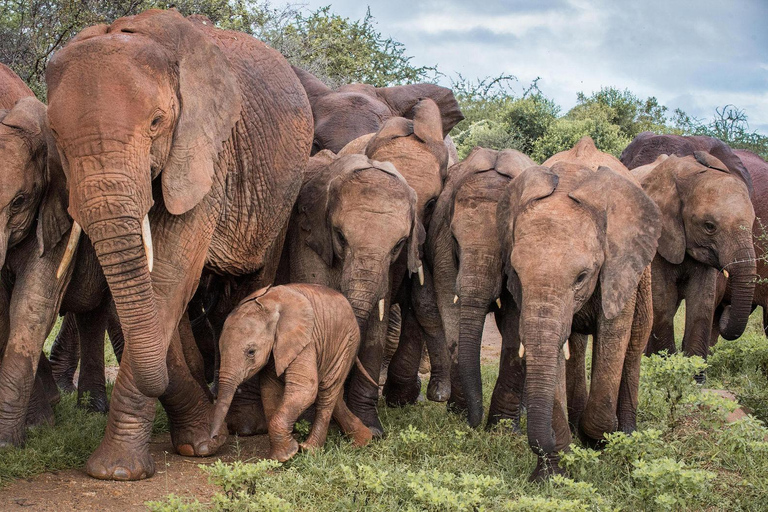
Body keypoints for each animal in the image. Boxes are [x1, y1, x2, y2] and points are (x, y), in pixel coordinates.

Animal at [45, 8, 312, 480]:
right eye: (55, 135)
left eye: (156, 123)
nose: (212, 434)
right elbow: (155, 293)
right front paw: (198, 441)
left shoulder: (205, 154)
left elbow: (167, 277)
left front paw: (119, 472)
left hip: (282, 193)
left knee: (253, 280)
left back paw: (244, 425)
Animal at [210, 284, 376, 460]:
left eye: (251, 352)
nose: (215, 438)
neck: (270, 305)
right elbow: (270, 390)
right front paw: (280, 456)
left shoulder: (306, 340)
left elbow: (305, 389)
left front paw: (286, 456)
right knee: (333, 392)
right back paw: (363, 440)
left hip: (348, 343)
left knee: (326, 392)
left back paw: (310, 449)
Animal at [426, 148, 536, 428]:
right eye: (456, 239)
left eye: (506, 245)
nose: (472, 423)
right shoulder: (442, 241)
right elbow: (449, 305)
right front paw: (459, 414)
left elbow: (516, 326)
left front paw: (502, 429)